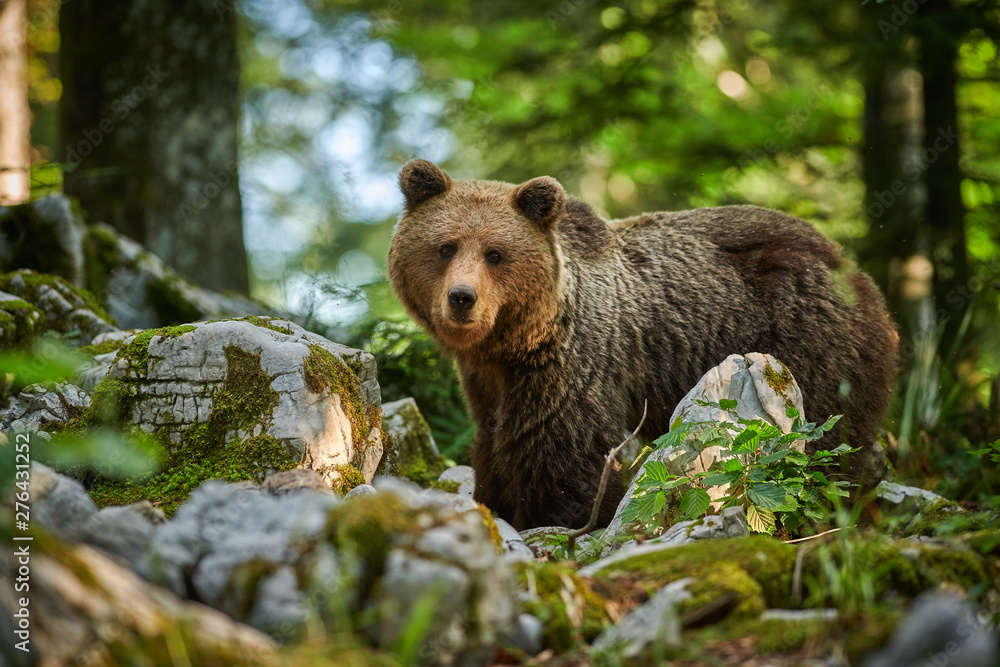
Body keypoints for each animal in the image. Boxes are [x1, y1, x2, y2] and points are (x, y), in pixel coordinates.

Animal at [388, 159, 898, 531]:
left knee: (824, 434)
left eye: (495, 254)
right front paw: (494, 501)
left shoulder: (574, 361)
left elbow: (564, 448)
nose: (462, 298)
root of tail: (855, 272)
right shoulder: (487, 380)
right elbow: (494, 439)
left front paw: (560, 514)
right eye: (446, 247)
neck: (516, 342)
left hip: (808, 337)